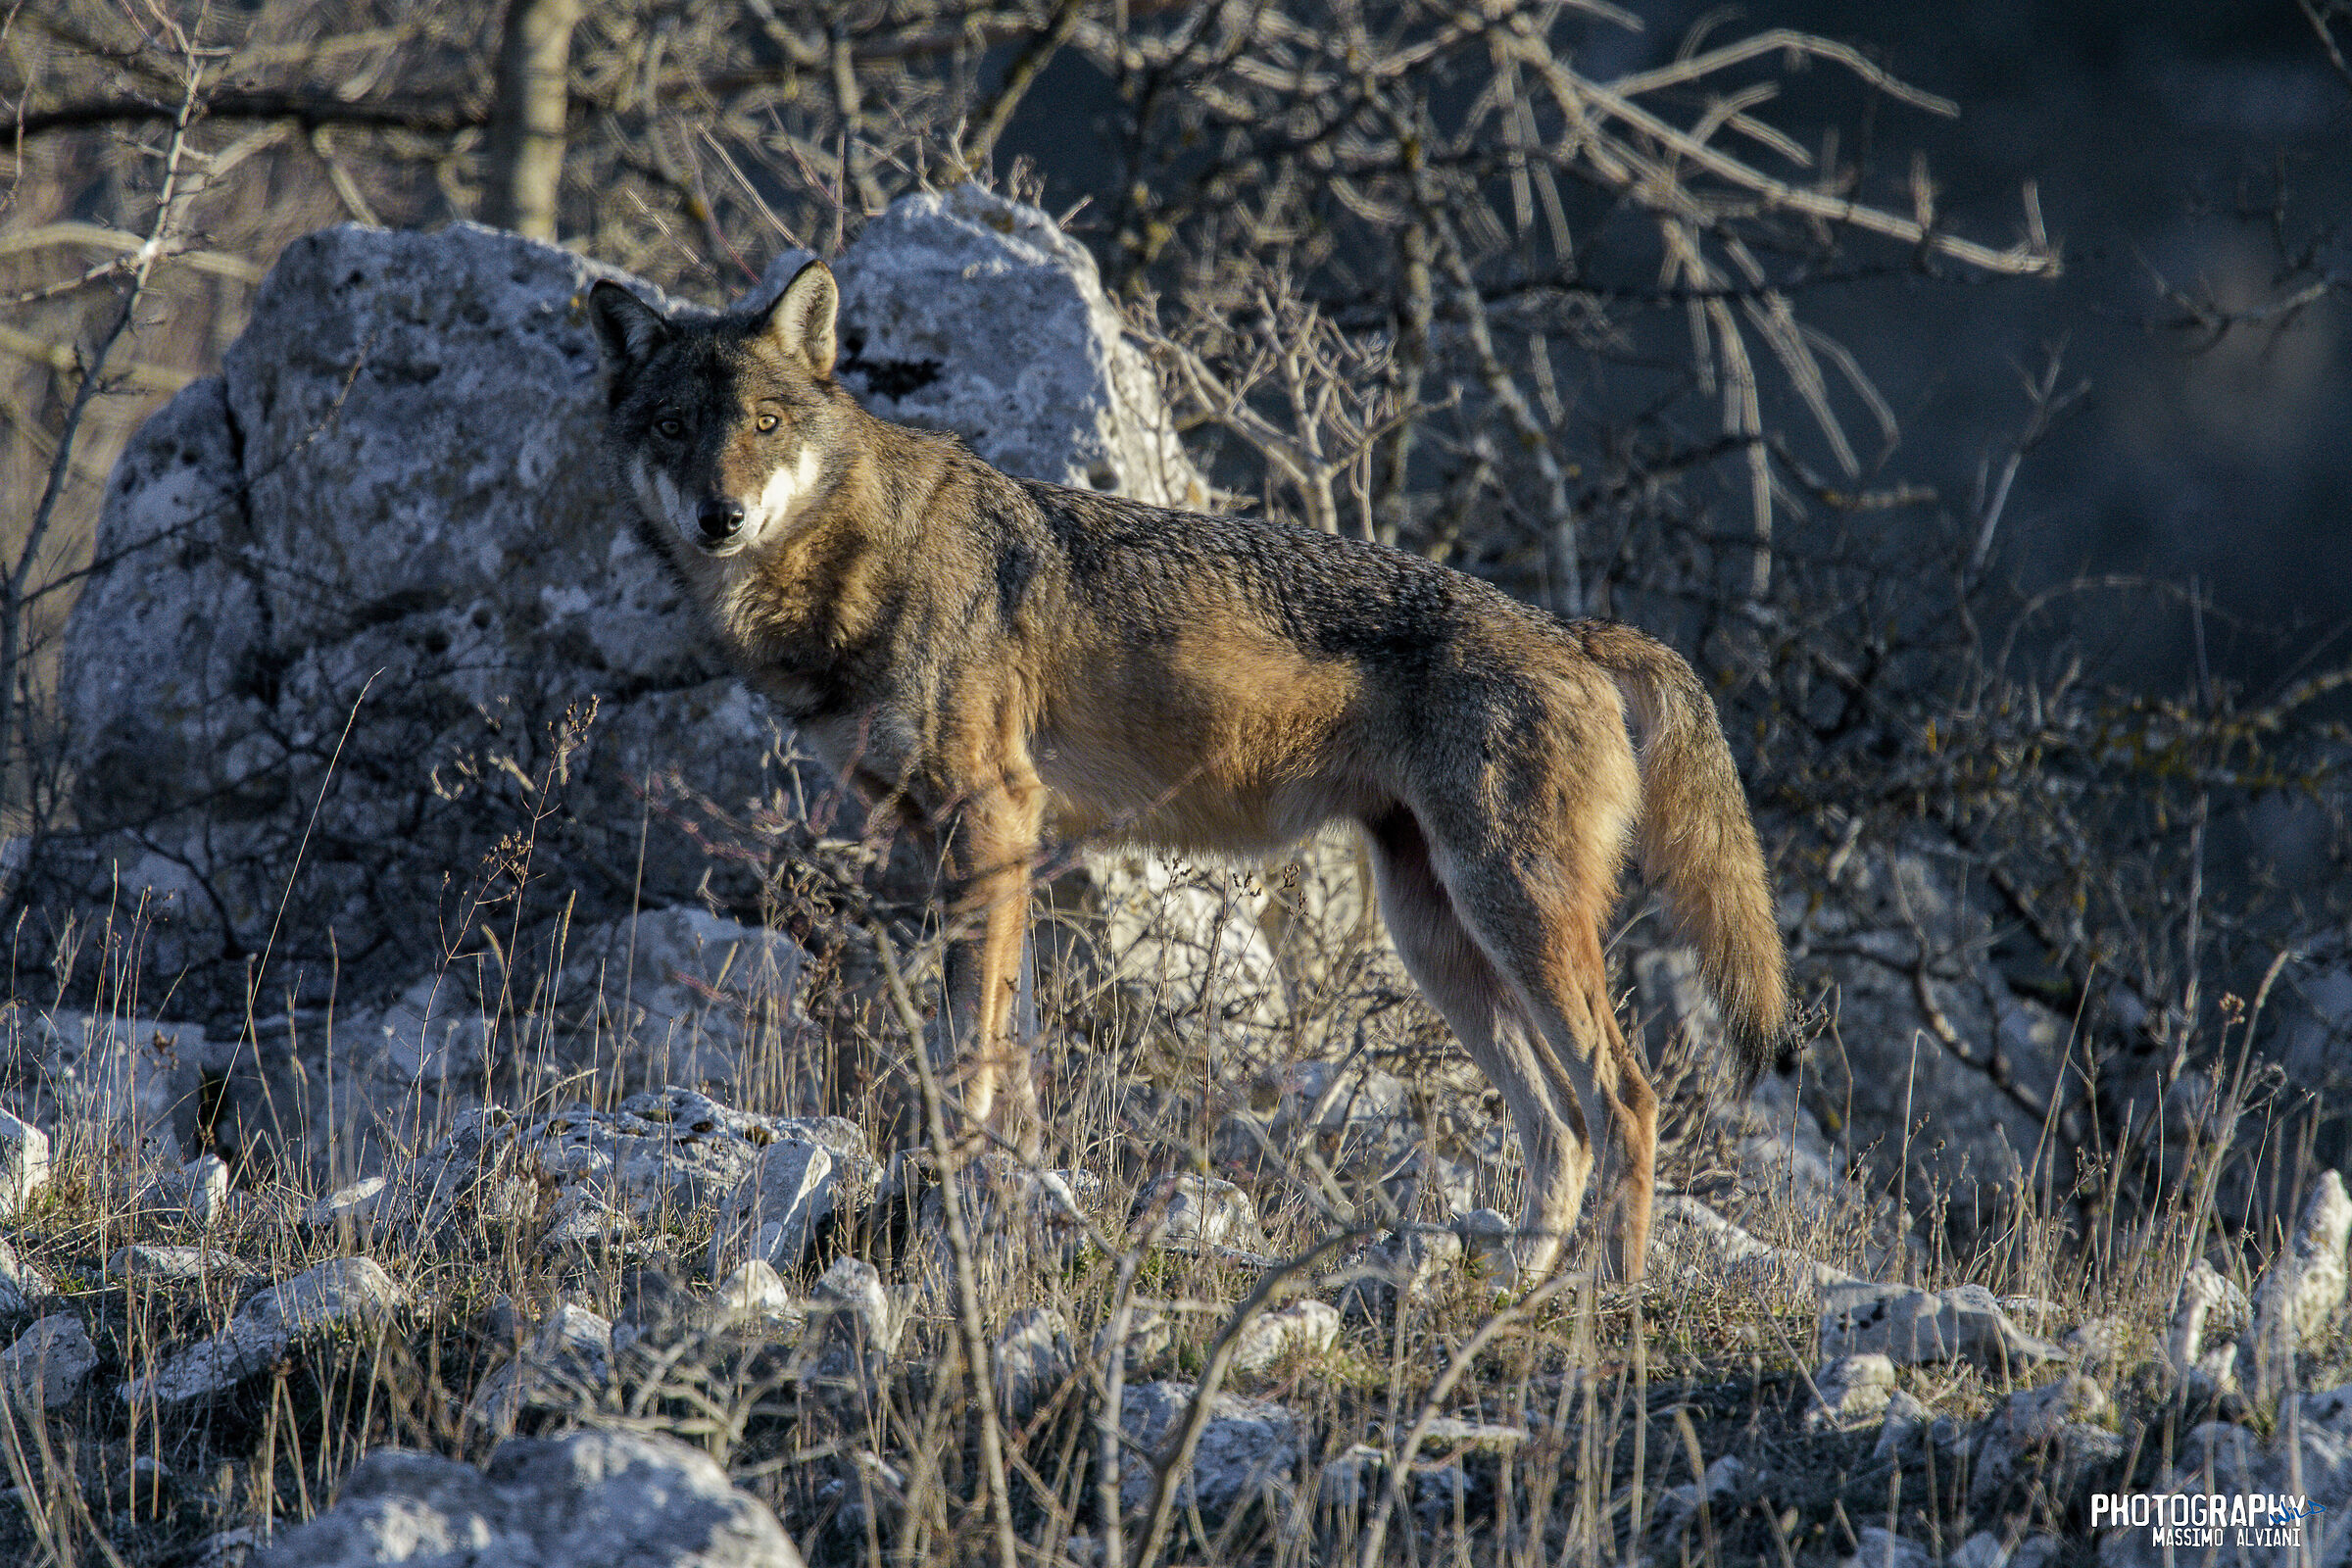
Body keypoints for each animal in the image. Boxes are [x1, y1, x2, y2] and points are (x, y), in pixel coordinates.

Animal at [587, 258, 1789, 1283]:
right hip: (1440, 937)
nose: (721, 517)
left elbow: (971, 1055)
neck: (856, 566)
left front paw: (955, 1206)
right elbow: (1013, 1057)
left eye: (765, 424)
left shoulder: (992, 827)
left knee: (1623, 1100)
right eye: (674, 426)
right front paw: (1009, 1208)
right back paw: (1515, 1299)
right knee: (1558, 1125)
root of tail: (1572, 631)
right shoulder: (983, 851)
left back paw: (1610, 1309)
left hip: (1509, 915)